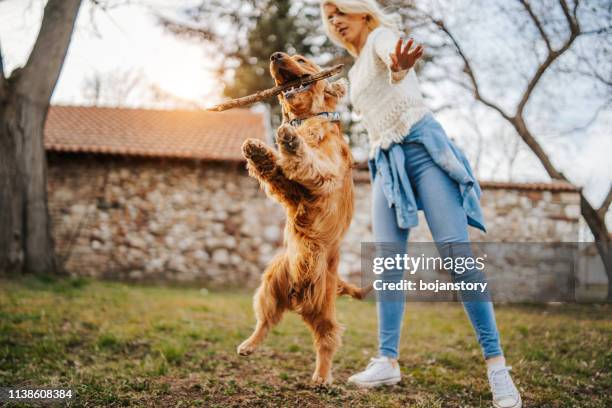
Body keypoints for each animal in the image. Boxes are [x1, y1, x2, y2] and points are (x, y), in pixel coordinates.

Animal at [237, 52, 368, 384]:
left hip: (322, 308)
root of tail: (296, 295)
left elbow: (308, 161)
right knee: (266, 322)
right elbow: (275, 169)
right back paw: (249, 345)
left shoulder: (322, 176)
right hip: (269, 288)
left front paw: (291, 141)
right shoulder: (290, 191)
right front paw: (258, 151)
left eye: (302, 59)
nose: (275, 56)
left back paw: (321, 376)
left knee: (327, 339)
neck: (304, 119)